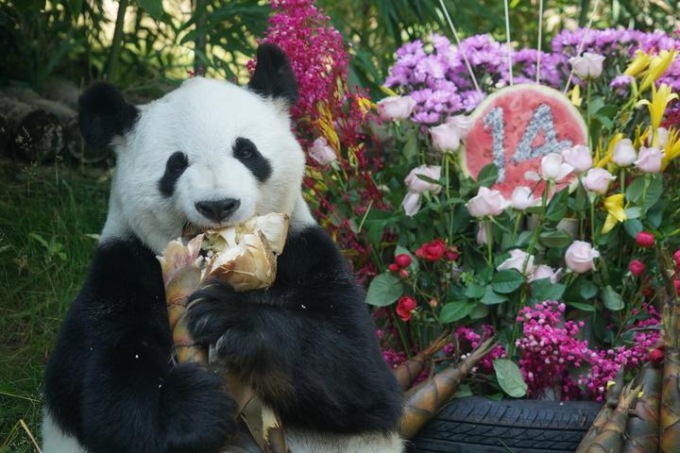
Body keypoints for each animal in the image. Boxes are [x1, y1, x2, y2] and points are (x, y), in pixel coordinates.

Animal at [42, 43, 404, 453]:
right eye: (176, 164)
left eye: (246, 152)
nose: (218, 205)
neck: (214, 260)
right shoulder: (123, 271)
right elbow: (107, 394)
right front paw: (192, 405)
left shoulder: (306, 256)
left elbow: (358, 372)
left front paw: (229, 318)